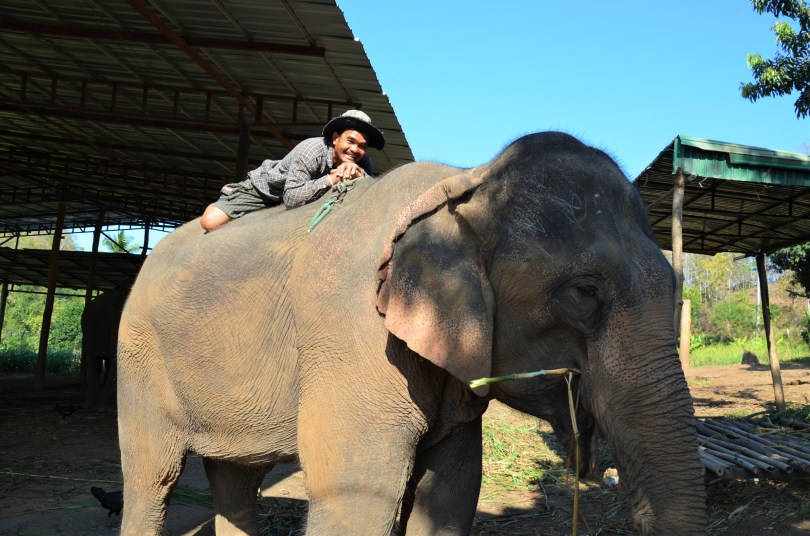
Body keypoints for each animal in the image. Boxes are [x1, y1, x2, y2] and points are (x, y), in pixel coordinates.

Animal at [117, 132, 706, 535]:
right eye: (585, 292)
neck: (467, 181)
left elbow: (452, 489)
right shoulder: (352, 337)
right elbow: (360, 493)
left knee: (235, 480)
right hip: (140, 358)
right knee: (152, 478)